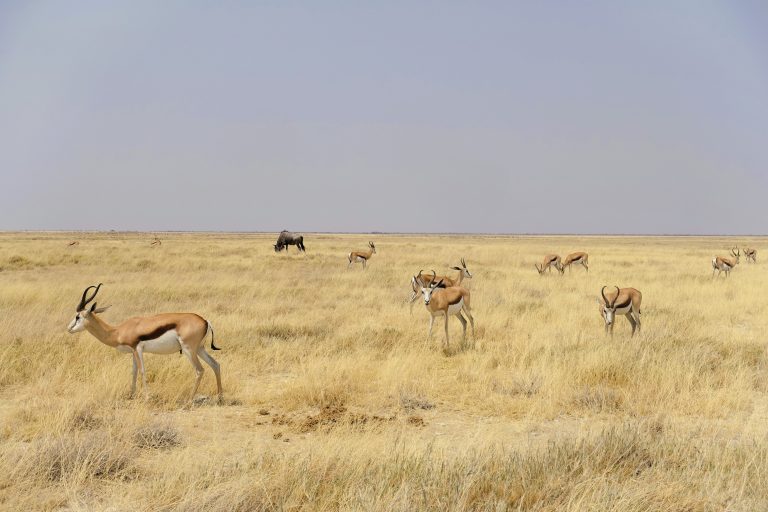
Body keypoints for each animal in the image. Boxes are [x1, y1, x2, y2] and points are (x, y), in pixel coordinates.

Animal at [66, 284, 222, 401]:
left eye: (78, 316)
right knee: (215, 364)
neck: (117, 331)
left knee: (199, 370)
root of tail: (205, 321)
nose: (69, 328)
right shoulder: (132, 352)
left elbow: (142, 371)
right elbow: (134, 372)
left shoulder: (137, 349)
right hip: (200, 349)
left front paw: (147, 397)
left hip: (189, 350)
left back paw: (189, 399)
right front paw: (131, 395)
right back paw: (220, 398)